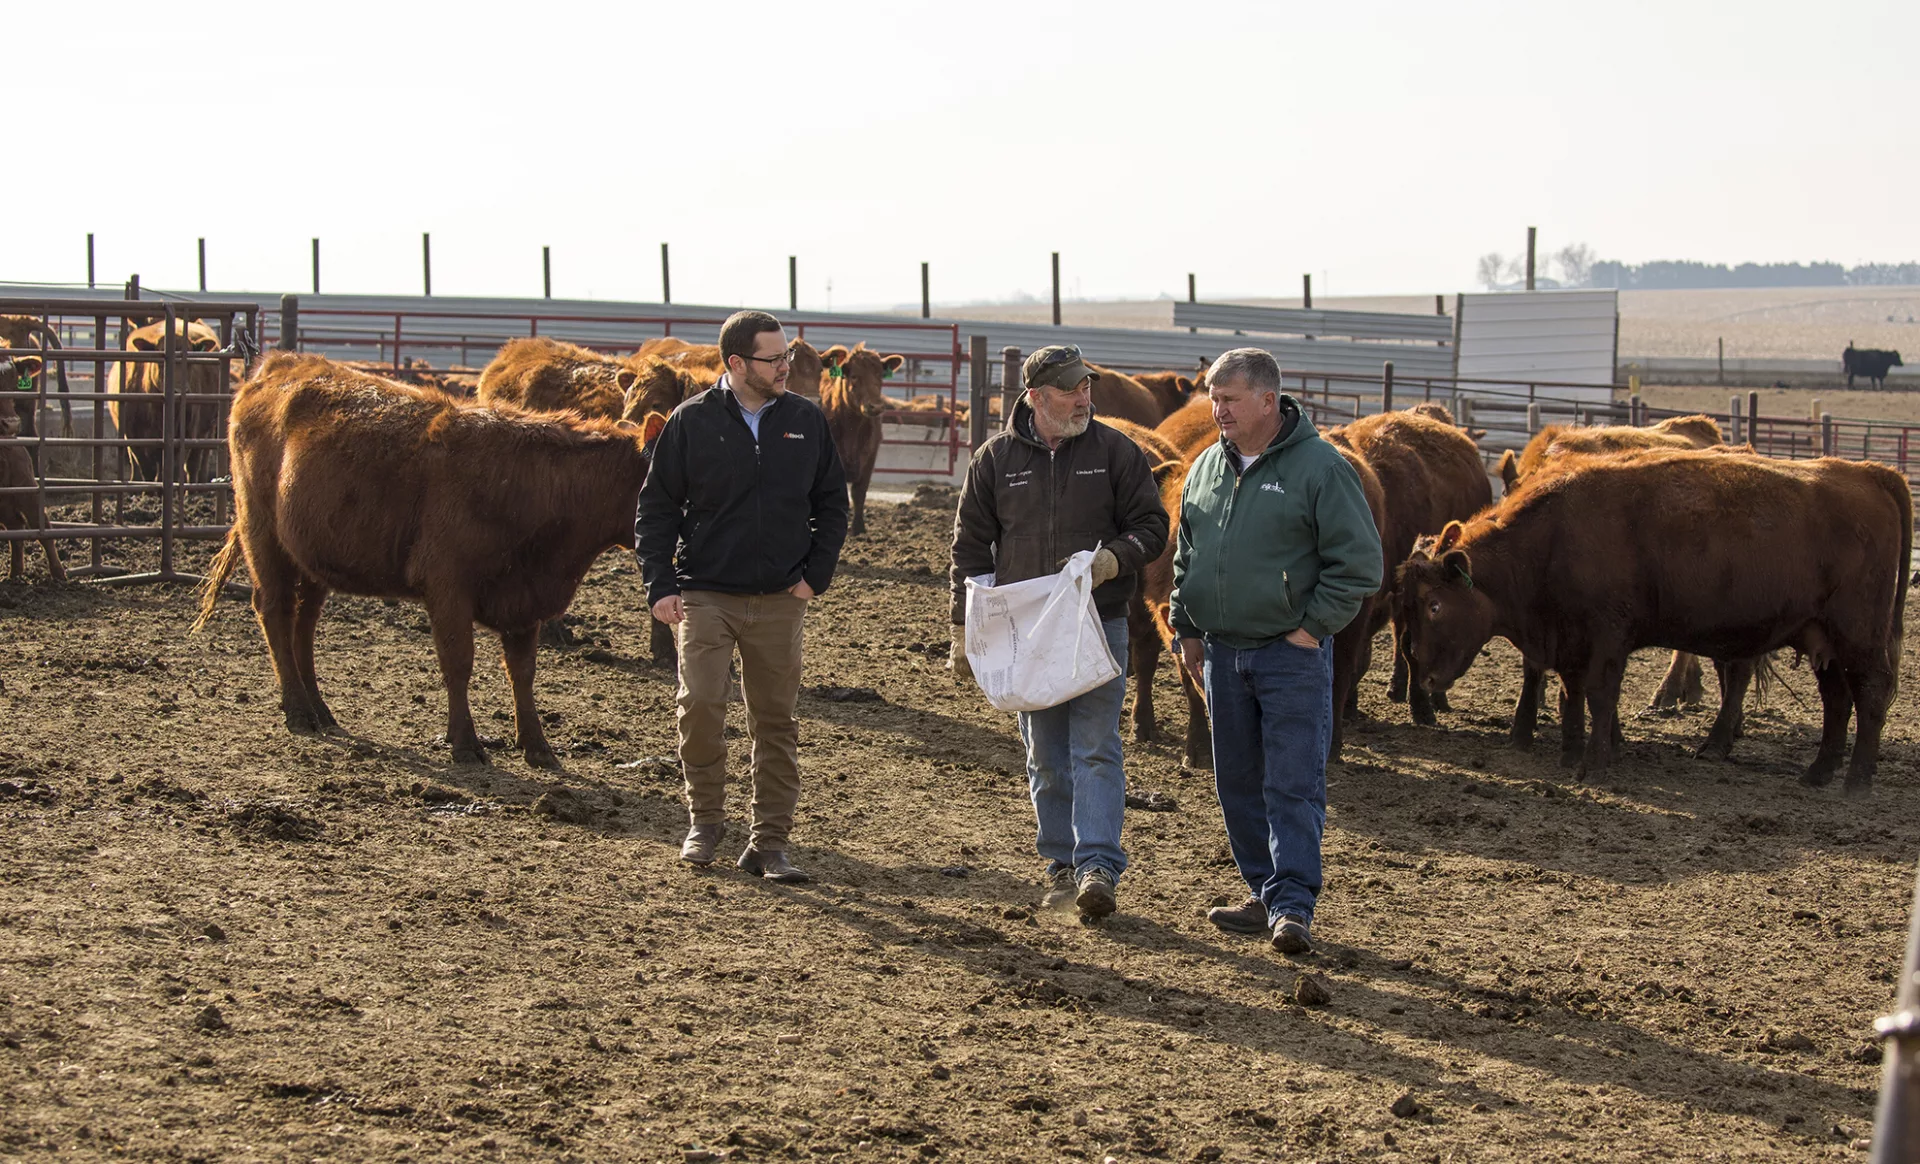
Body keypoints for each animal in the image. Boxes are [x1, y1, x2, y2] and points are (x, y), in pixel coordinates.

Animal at [196, 357, 668, 776]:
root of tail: (280, 364)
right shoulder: (448, 588)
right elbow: (458, 663)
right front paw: (465, 743)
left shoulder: (524, 600)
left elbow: (523, 673)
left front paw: (537, 746)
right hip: (262, 535)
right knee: (275, 611)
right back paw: (298, 711)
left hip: (312, 555)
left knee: (304, 624)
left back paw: (319, 707)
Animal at [1397, 447, 1904, 795]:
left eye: (1434, 606)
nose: (1424, 676)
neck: (1550, 539)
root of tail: (1870, 472)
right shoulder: (1568, 640)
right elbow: (1569, 694)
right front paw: (1569, 754)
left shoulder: (1606, 638)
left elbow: (1599, 696)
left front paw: (1594, 764)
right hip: (1823, 641)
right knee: (1837, 699)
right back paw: (1817, 773)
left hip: (1858, 636)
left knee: (1870, 692)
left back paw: (1856, 780)